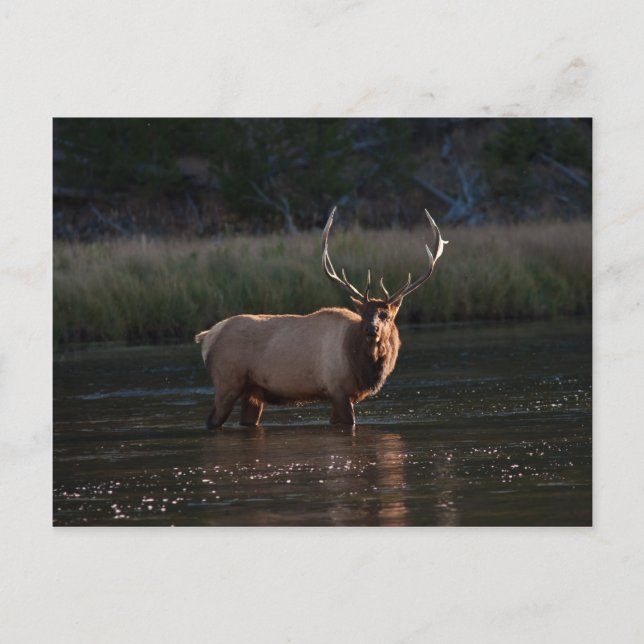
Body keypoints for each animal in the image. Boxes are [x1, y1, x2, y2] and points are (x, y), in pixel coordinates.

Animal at [195, 208, 447, 428]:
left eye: (385, 315)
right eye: (363, 314)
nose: (371, 329)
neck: (363, 366)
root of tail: (207, 336)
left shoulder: (342, 395)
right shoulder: (338, 388)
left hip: (253, 392)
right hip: (227, 382)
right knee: (211, 421)